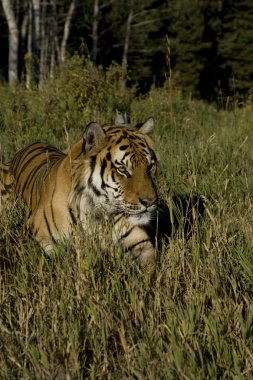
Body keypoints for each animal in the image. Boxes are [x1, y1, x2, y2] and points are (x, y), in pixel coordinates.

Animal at [0, 114, 158, 268]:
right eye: (122, 169)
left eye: (150, 167)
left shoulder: (139, 242)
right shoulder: (37, 235)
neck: (96, 212)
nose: (150, 202)